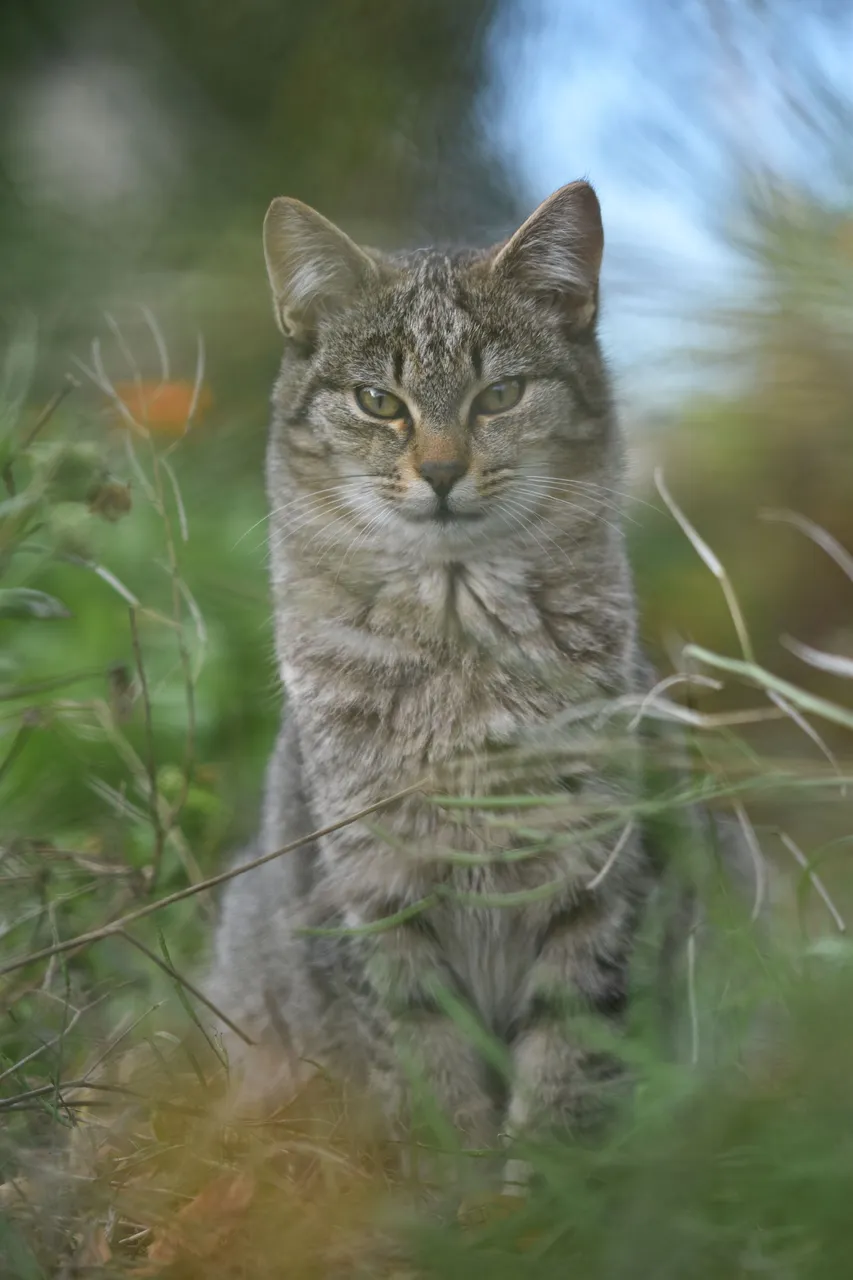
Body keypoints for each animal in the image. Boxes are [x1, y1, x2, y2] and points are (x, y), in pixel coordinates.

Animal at [208, 183, 696, 1172]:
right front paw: (455, 1184)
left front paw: (541, 1187)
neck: (456, 642)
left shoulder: (596, 879)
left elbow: (567, 1055)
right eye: (377, 401)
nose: (438, 471)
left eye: (498, 394)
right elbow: (423, 1066)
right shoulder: (370, 895)